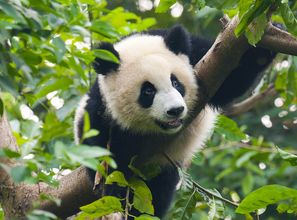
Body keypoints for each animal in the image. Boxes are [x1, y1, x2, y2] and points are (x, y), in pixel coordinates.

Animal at [73, 24, 274, 217]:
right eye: (148, 91)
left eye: (176, 82)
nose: (175, 110)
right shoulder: (101, 106)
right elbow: (102, 149)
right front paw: (116, 189)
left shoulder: (200, 57)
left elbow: (232, 81)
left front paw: (264, 44)